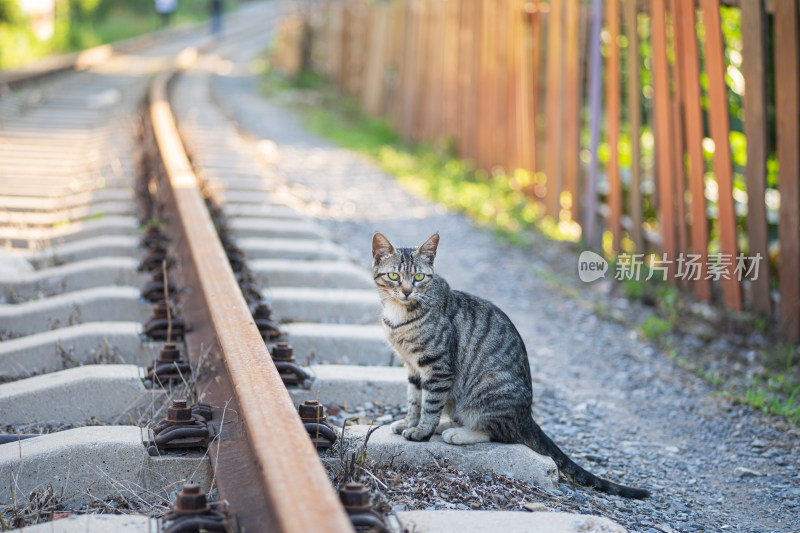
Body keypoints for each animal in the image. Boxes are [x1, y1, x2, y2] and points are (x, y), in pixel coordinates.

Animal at [370, 233, 648, 498]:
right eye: (394, 276)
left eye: (419, 277)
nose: (407, 291)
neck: (399, 316)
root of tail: (527, 415)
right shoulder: (413, 369)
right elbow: (414, 401)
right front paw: (409, 423)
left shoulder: (437, 368)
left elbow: (429, 405)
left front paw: (422, 431)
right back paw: (449, 424)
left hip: (489, 386)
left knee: (502, 433)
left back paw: (460, 432)